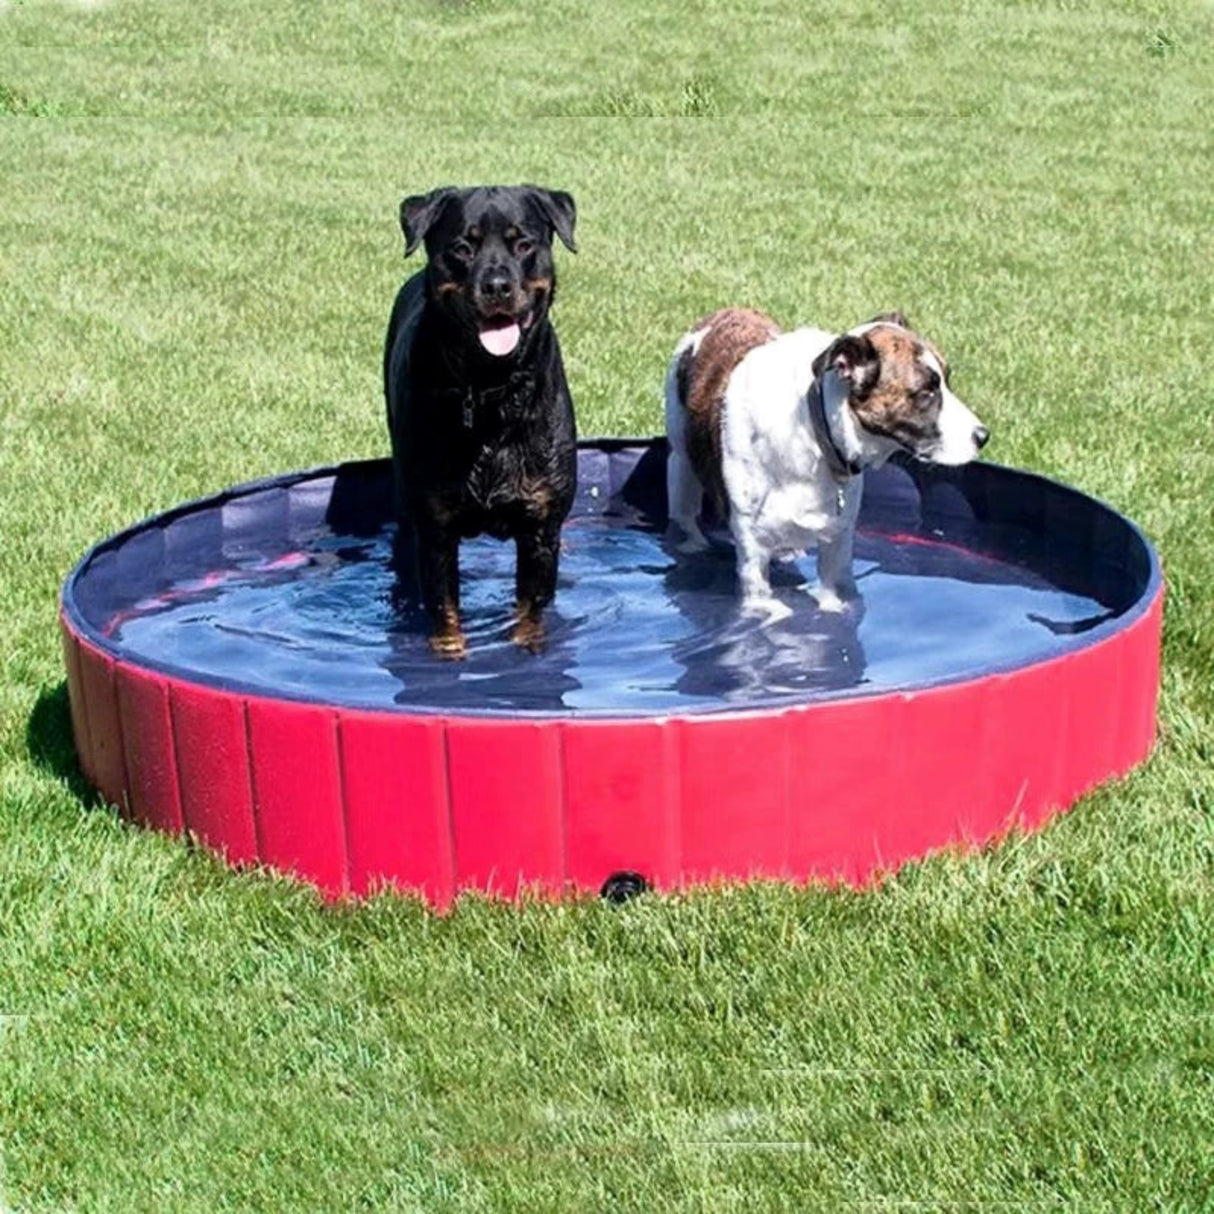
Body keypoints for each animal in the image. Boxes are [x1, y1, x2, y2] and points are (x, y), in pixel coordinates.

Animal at [386, 183, 580, 655]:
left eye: (523, 244)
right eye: (463, 247)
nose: (497, 285)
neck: (492, 388)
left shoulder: (541, 527)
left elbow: (531, 609)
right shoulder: (435, 528)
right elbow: (444, 611)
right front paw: (448, 653)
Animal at [670, 310, 990, 616]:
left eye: (946, 382)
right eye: (925, 393)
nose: (983, 436)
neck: (816, 431)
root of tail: (723, 314)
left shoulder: (839, 538)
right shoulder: (752, 549)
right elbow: (761, 596)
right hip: (680, 459)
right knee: (684, 504)